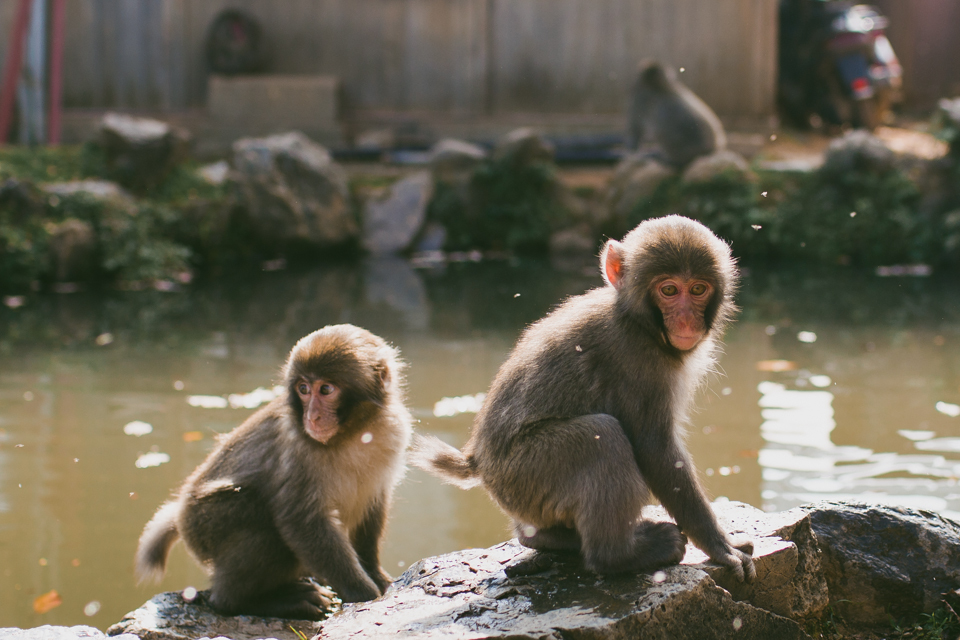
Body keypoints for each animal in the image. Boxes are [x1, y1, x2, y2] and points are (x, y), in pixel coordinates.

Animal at [133, 324, 410, 620]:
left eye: (325, 389)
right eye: (303, 389)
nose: (311, 417)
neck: (351, 434)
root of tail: (182, 516)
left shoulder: (393, 432)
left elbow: (373, 506)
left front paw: (376, 574)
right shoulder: (296, 451)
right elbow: (301, 520)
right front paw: (363, 593)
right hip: (204, 524)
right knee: (262, 520)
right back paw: (255, 601)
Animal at [412, 216, 756, 584]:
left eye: (697, 289)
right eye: (669, 290)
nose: (686, 319)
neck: (639, 322)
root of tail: (478, 462)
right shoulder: (637, 360)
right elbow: (656, 450)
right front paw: (719, 546)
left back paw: (544, 538)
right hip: (526, 473)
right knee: (602, 437)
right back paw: (620, 555)